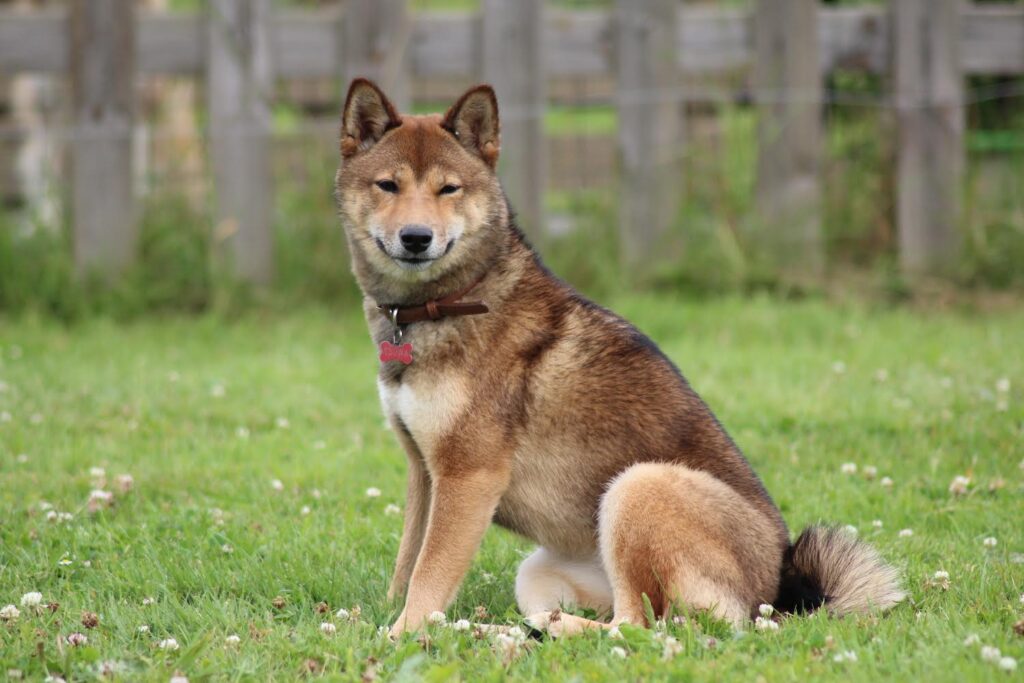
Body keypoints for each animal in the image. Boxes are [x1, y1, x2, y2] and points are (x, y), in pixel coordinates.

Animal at [335, 80, 905, 643]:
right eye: (388, 186)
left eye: (448, 190)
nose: (415, 237)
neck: (449, 302)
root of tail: (775, 596)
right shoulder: (424, 470)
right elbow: (407, 561)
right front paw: (379, 615)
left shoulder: (468, 474)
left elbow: (429, 572)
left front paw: (401, 633)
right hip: (543, 569)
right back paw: (519, 628)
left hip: (639, 487)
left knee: (636, 628)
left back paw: (533, 629)